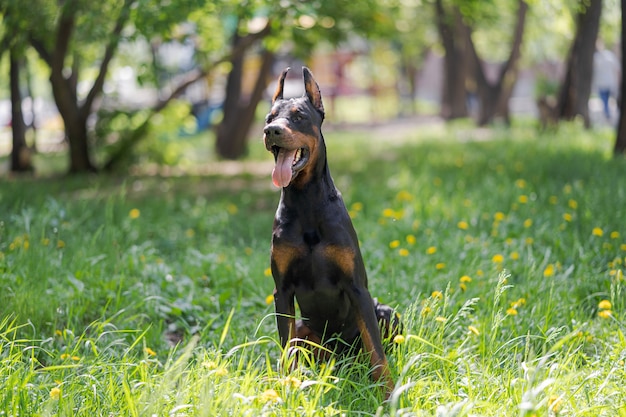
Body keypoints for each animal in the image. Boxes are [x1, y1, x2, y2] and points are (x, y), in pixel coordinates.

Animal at [260, 66, 398, 396]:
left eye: (298, 116)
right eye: (269, 118)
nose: (271, 131)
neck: (307, 201)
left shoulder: (357, 288)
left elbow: (377, 352)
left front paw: (389, 394)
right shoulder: (282, 291)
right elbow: (285, 350)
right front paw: (288, 387)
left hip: (386, 312)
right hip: (305, 329)